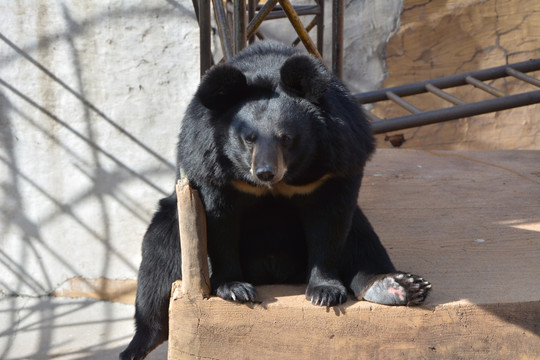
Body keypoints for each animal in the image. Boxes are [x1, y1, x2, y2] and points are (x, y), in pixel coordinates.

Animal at [121, 40, 430, 358]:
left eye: (286, 138)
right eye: (248, 138)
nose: (266, 172)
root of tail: (273, 272)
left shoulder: (338, 158)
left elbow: (331, 222)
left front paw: (324, 292)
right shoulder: (211, 165)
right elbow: (219, 223)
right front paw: (235, 288)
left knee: (361, 238)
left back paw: (397, 286)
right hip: (173, 226)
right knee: (158, 259)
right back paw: (139, 344)